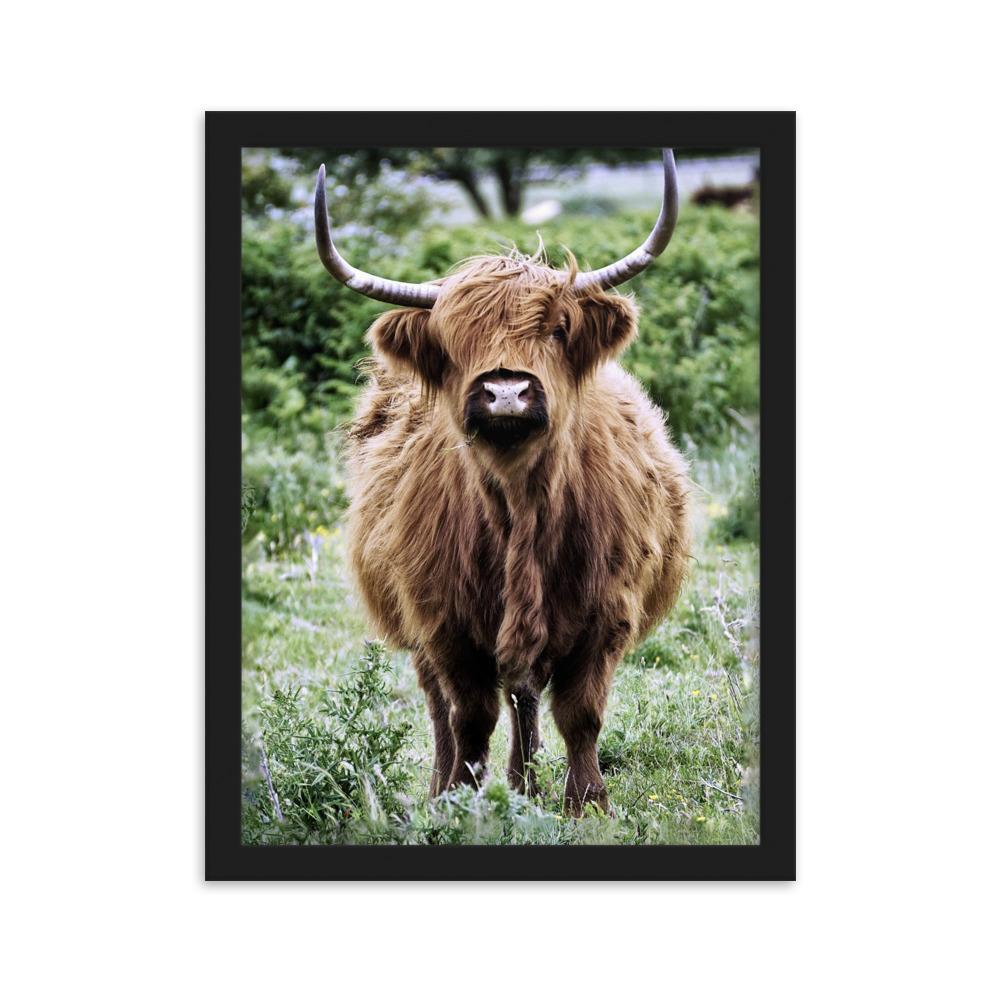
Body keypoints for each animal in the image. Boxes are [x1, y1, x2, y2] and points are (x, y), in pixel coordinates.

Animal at [314, 150, 691, 815]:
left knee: (526, 693)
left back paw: (526, 782)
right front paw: (461, 801)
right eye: (453, 340)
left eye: (559, 329)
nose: (507, 391)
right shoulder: (443, 623)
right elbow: (469, 715)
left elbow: (580, 713)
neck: (521, 507)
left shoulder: (607, 614)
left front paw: (585, 803)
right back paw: (457, 785)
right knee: (447, 706)